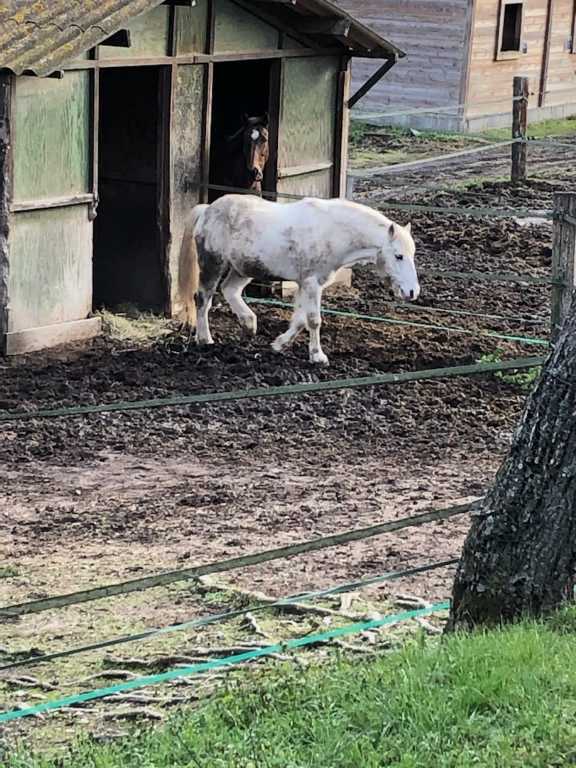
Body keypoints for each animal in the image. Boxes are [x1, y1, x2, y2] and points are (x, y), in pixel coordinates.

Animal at [178, 194, 420, 364]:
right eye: (398, 256)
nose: (412, 292)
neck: (333, 231)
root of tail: (207, 210)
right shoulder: (312, 283)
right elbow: (313, 320)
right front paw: (317, 356)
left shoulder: (305, 284)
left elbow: (301, 320)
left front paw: (279, 344)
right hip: (213, 265)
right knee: (203, 299)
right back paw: (205, 339)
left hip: (242, 269)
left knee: (230, 290)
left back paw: (249, 324)